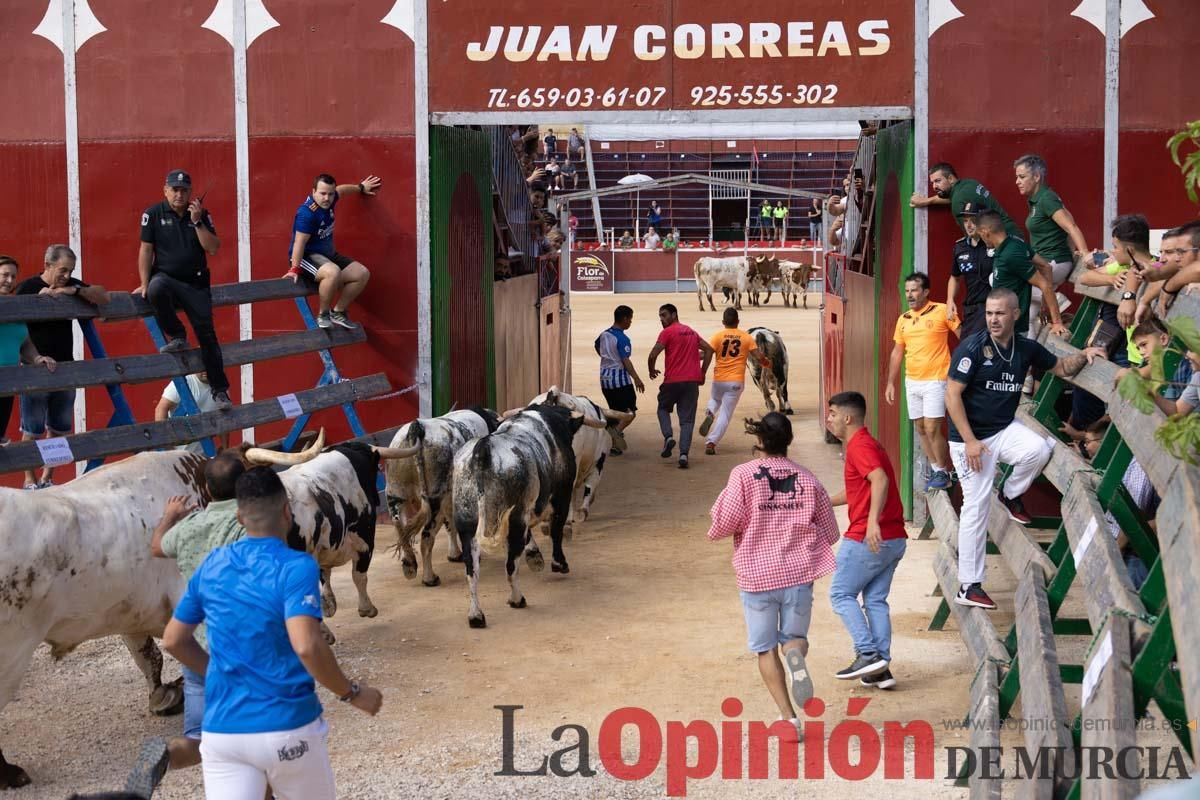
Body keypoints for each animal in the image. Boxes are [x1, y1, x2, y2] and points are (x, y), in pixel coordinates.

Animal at [381, 410, 499, 585]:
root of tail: (417, 427)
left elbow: (450, 524)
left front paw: (455, 554)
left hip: (396, 494)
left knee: (400, 527)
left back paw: (410, 566)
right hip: (434, 500)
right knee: (426, 537)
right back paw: (429, 578)